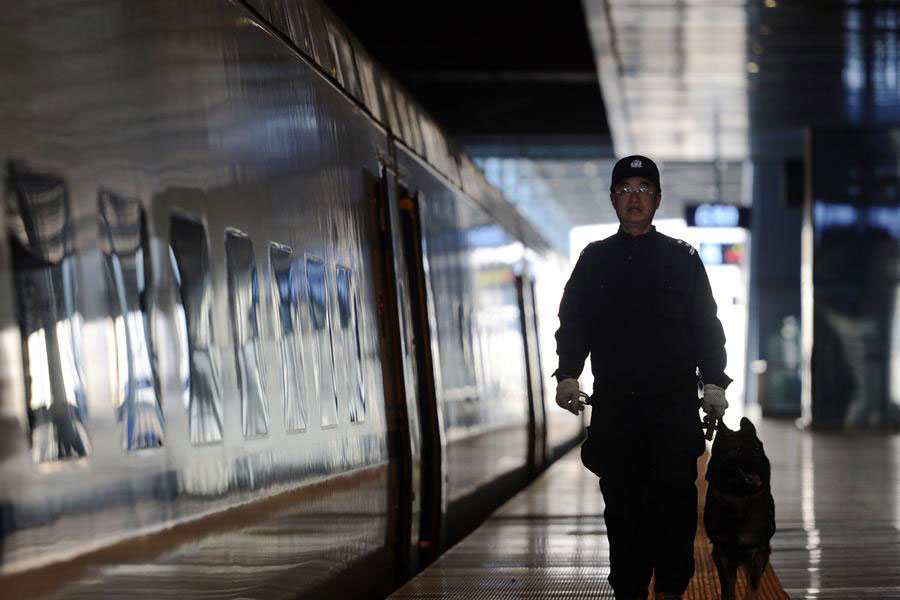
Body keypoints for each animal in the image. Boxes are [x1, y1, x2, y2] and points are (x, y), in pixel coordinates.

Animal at [704, 418, 772, 600]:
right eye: (738, 449)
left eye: (757, 448)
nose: (760, 462)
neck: (737, 496)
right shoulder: (721, 552)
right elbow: (727, 589)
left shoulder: (756, 551)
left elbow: (752, 587)